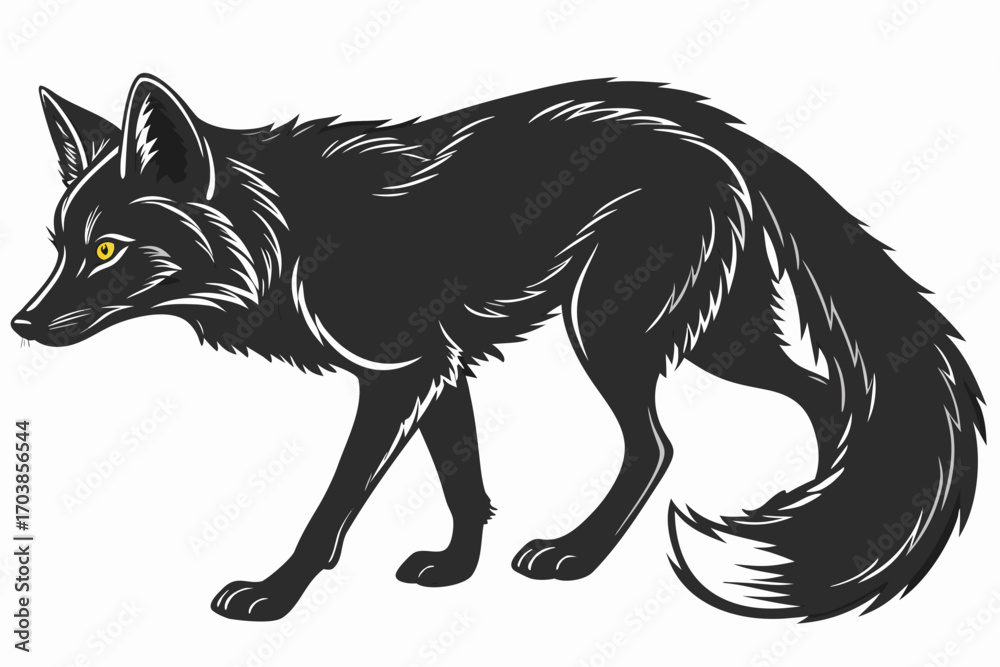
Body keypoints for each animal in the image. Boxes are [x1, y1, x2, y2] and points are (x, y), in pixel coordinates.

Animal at [12, 74, 985, 622]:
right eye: (61, 244)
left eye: (108, 249)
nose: (20, 325)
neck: (290, 240)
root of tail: (723, 131)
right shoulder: (441, 372)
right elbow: (464, 481)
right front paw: (455, 569)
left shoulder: (399, 375)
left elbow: (333, 505)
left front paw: (277, 593)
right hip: (716, 338)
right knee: (827, 396)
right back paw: (816, 514)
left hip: (612, 332)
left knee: (661, 444)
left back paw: (583, 554)